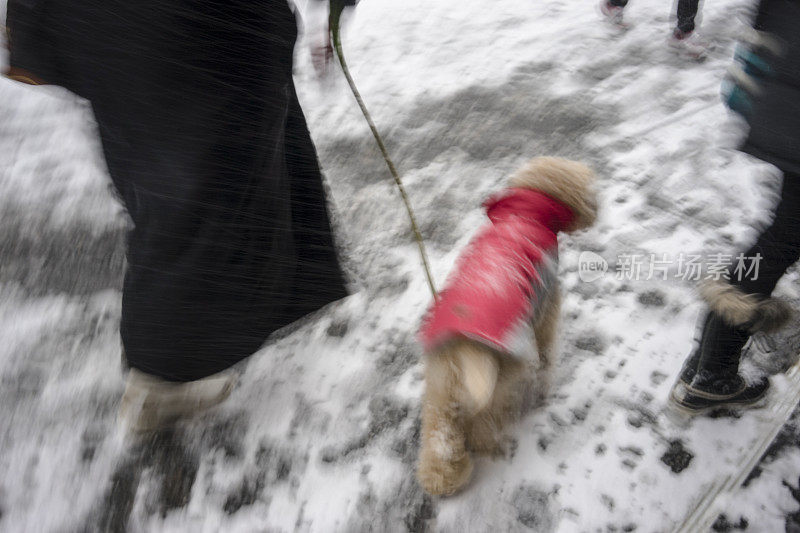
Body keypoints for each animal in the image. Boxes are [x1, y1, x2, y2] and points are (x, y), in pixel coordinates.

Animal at [416, 157, 596, 494]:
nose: (595, 208)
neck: (524, 213)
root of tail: (464, 346)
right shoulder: (546, 310)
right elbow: (547, 354)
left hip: (440, 389)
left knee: (440, 438)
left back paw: (443, 478)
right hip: (499, 382)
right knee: (482, 427)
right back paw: (493, 447)